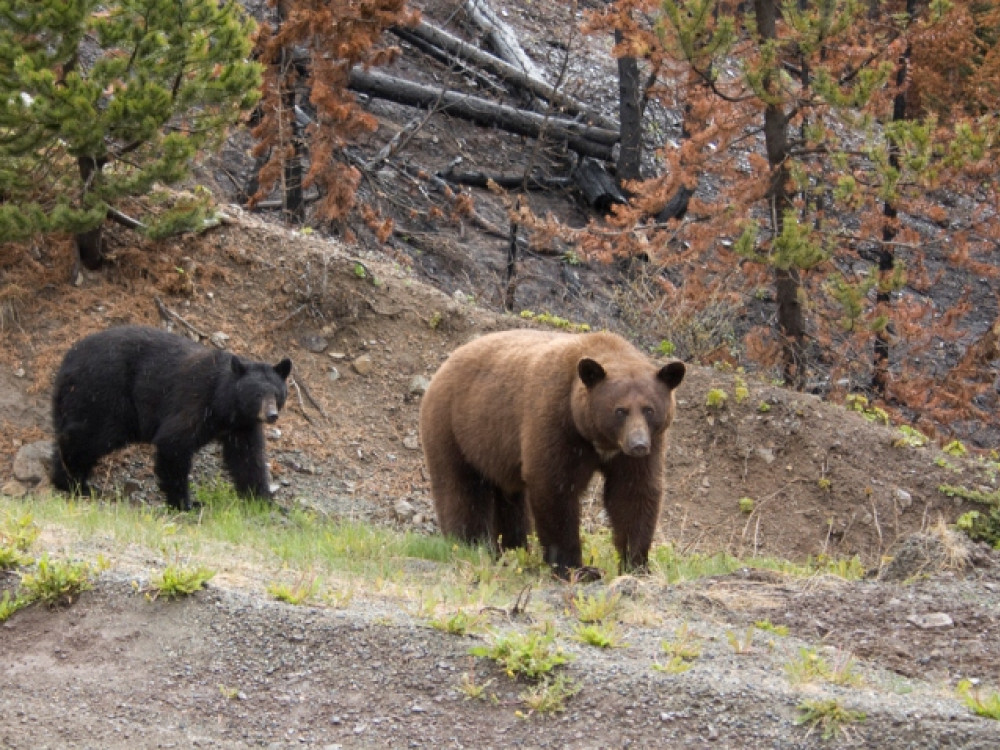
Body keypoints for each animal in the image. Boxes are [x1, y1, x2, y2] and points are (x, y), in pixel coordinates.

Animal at [51, 324, 292, 512]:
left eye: (277, 394)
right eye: (257, 394)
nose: (271, 415)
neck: (226, 406)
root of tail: (66, 362)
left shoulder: (242, 426)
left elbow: (247, 459)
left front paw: (264, 501)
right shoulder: (196, 400)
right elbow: (174, 441)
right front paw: (186, 503)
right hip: (105, 392)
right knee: (91, 435)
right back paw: (72, 482)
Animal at [418, 330, 684, 580]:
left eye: (649, 409)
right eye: (620, 411)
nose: (638, 444)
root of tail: (444, 365)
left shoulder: (639, 450)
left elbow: (632, 493)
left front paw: (636, 564)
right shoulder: (555, 420)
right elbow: (555, 487)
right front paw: (576, 568)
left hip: (495, 449)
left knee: (511, 500)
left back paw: (514, 548)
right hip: (455, 428)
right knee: (461, 489)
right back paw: (471, 545)